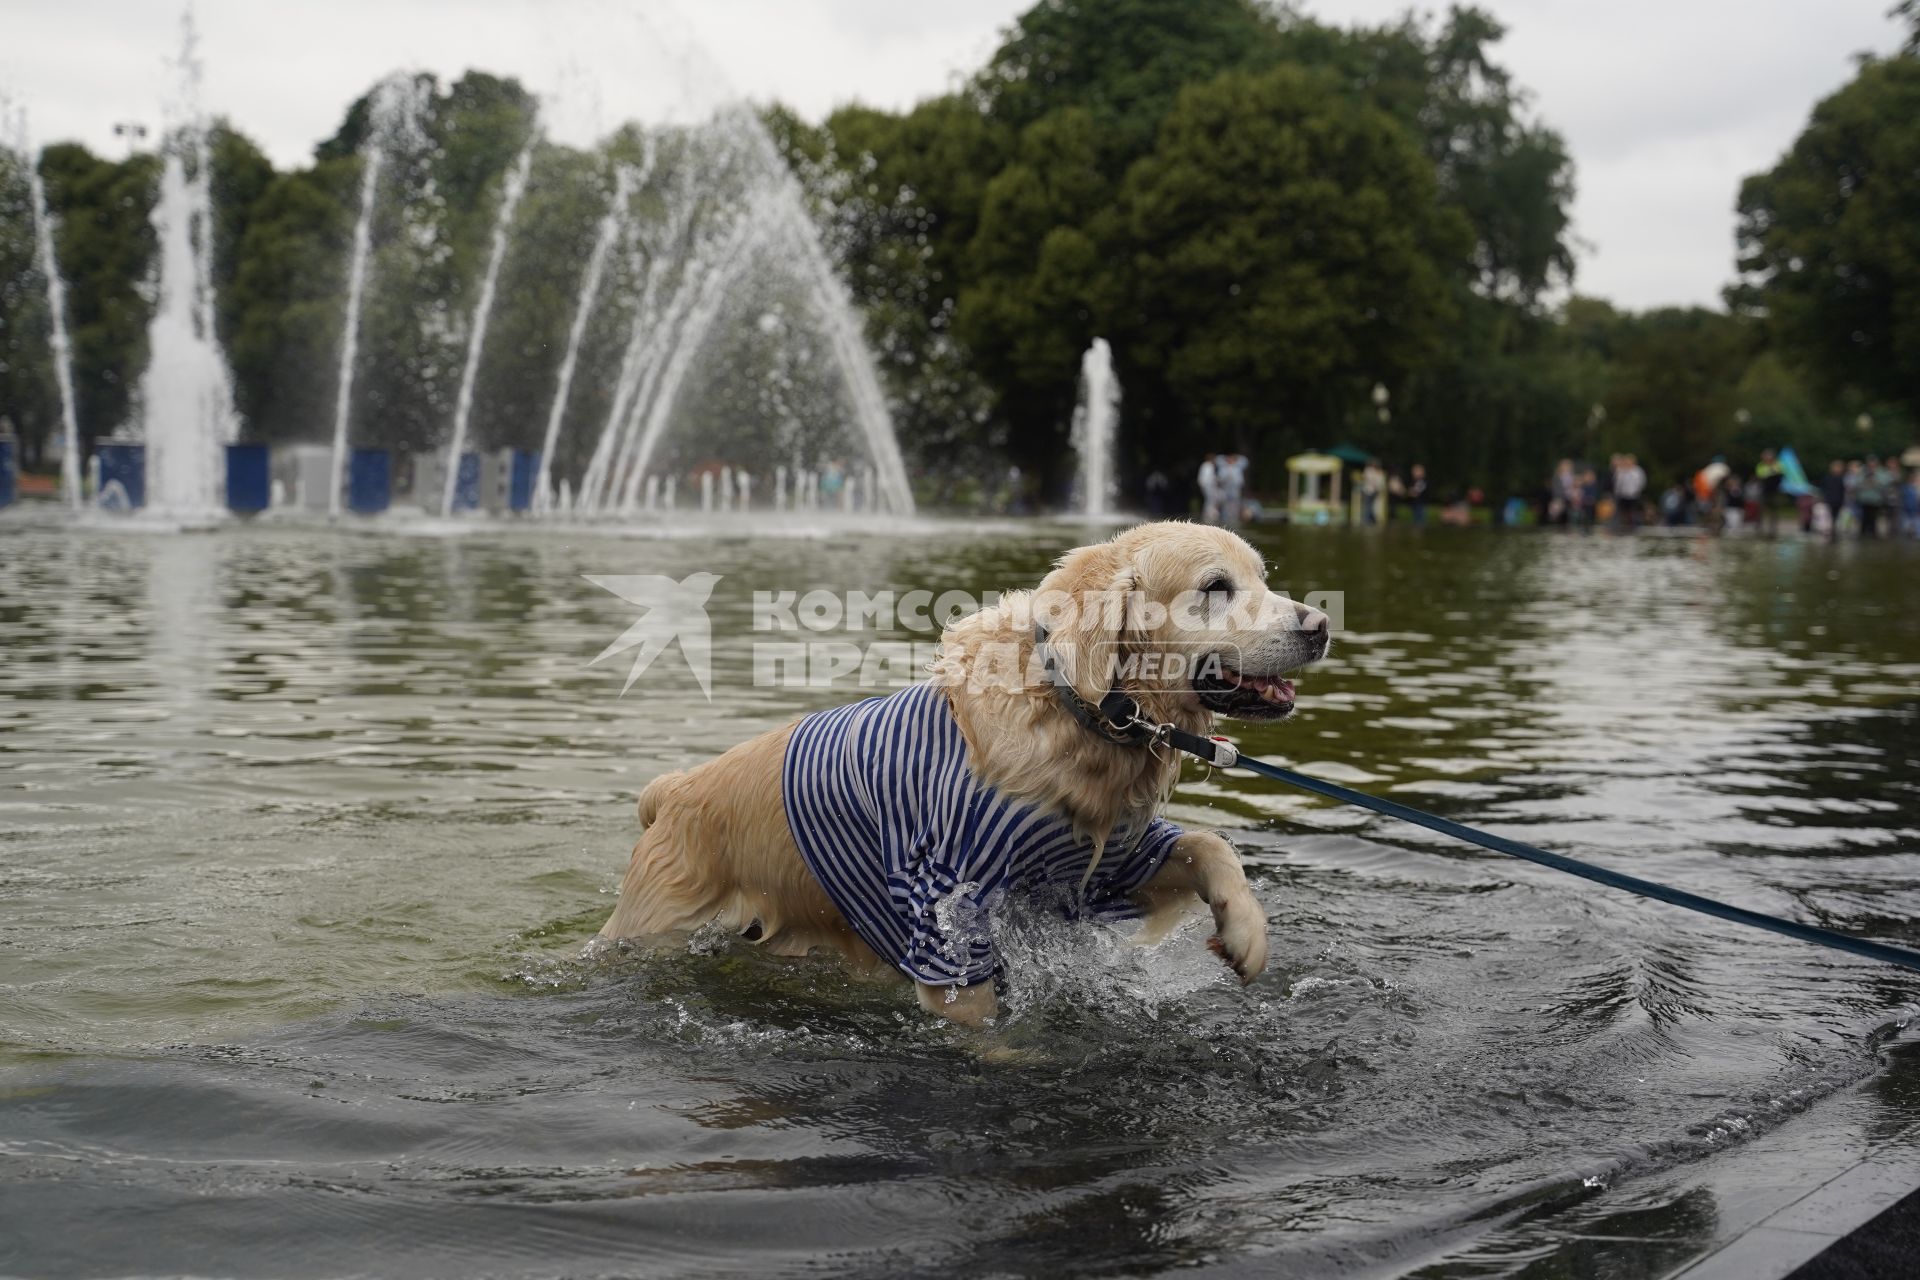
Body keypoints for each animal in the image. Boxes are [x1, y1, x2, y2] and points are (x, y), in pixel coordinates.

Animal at [599, 514, 1336, 1028]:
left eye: (1262, 577)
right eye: (1216, 587)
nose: (1322, 625)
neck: (1075, 710)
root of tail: (672, 793)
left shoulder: (1104, 870)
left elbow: (1209, 844)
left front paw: (1246, 931)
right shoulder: (947, 908)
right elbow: (982, 1024)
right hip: (656, 926)